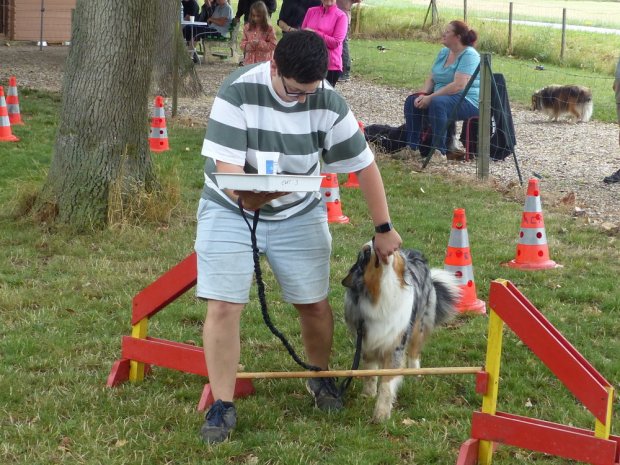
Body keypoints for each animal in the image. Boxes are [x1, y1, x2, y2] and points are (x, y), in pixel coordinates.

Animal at [342, 241, 458, 422]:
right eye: (366, 253)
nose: (374, 239)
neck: (384, 291)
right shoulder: (367, 342)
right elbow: (370, 373)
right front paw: (368, 395)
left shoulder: (395, 346)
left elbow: (387, 384)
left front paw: (381, 414)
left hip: (418, 325)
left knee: (414, 353)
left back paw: (415, 375)